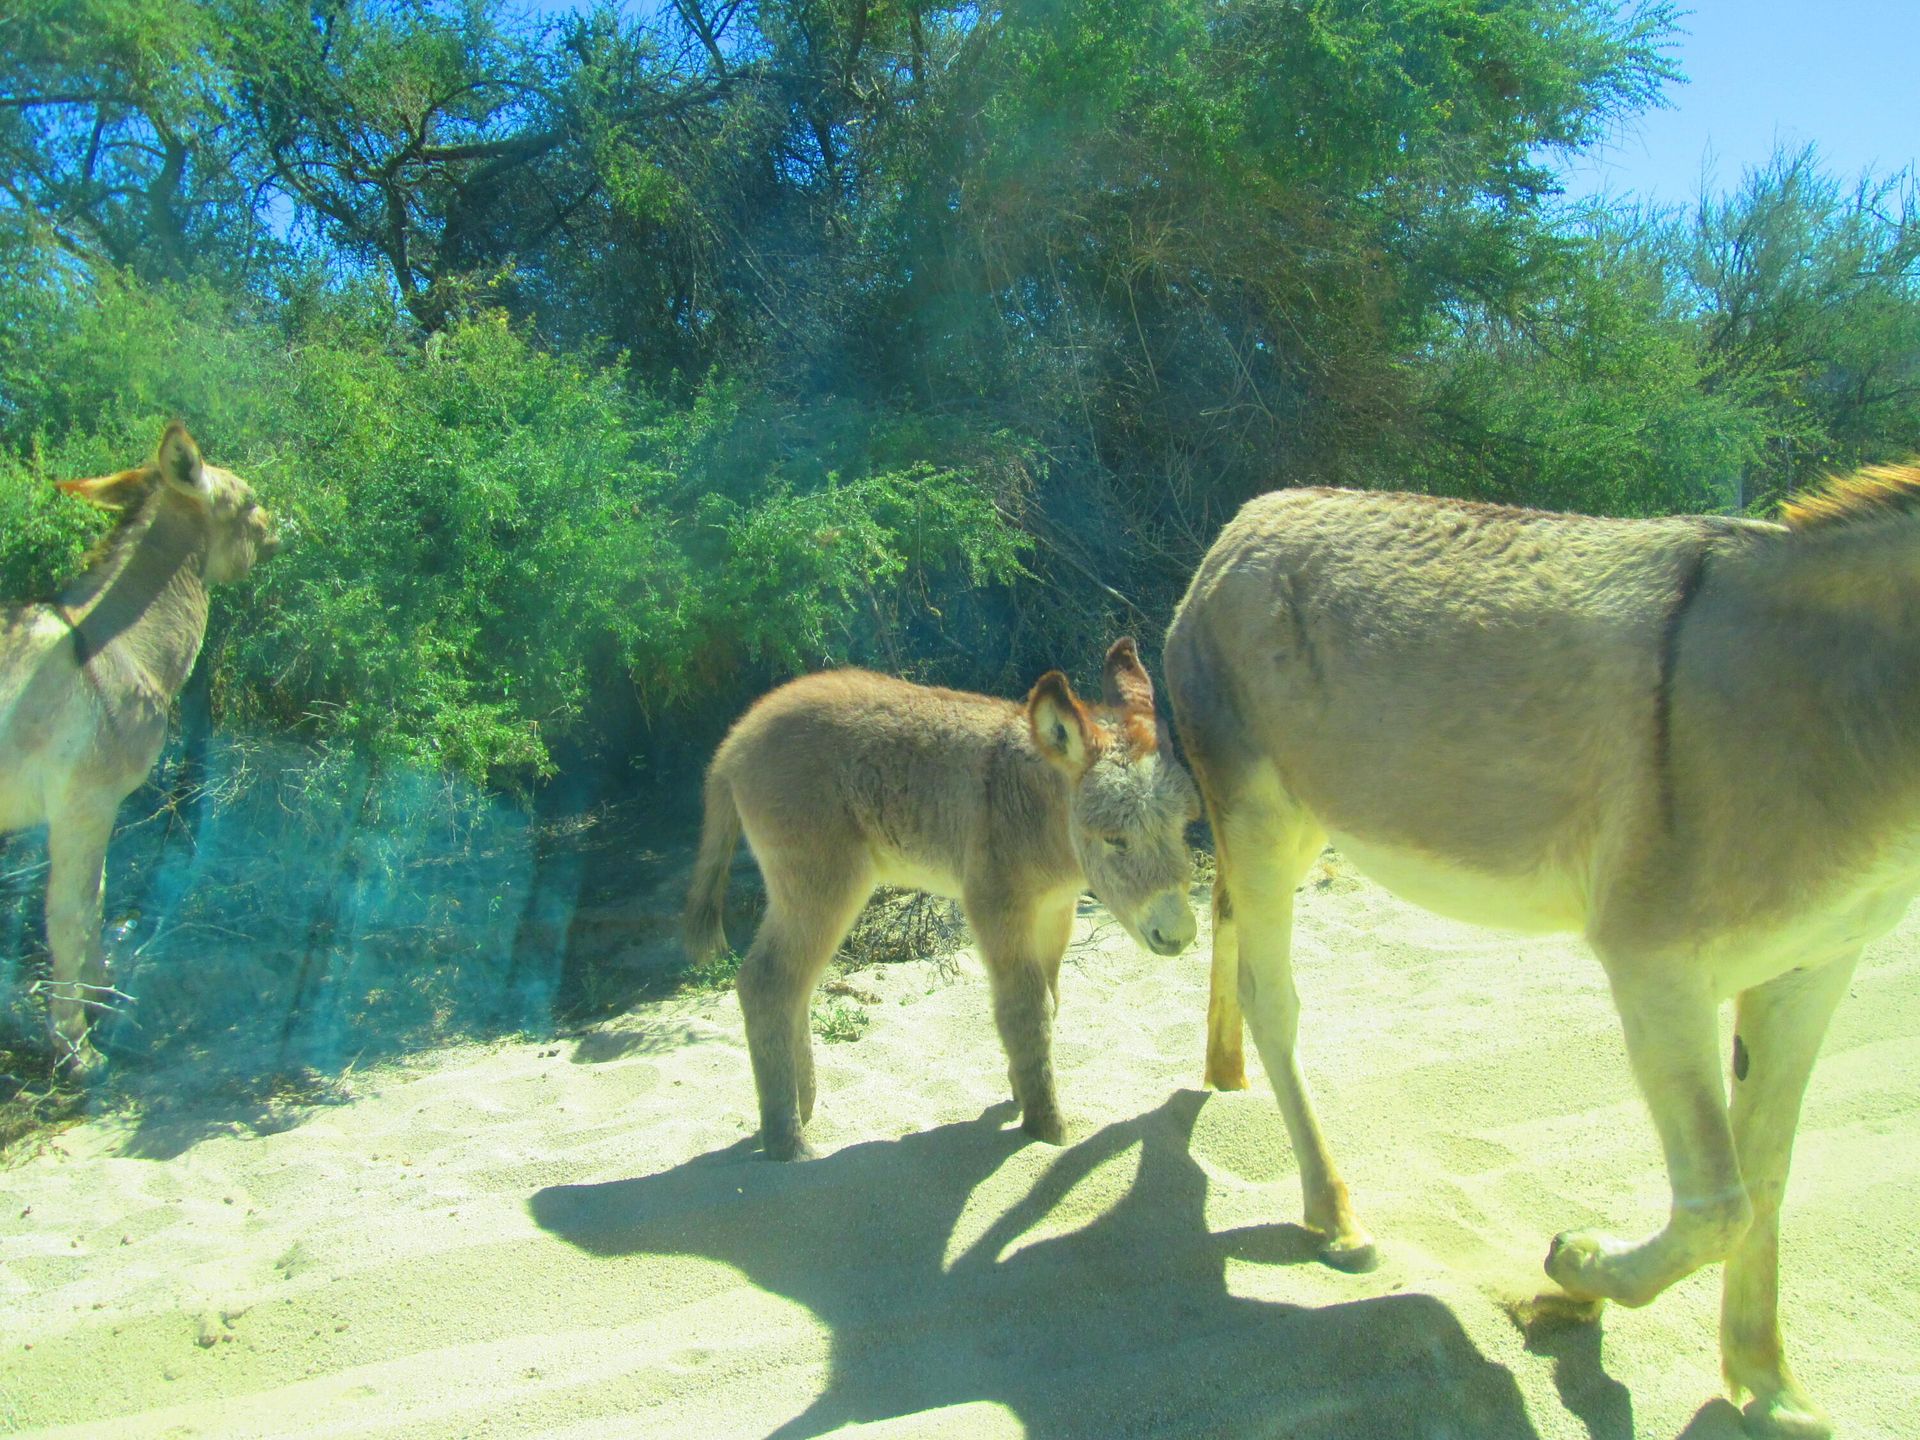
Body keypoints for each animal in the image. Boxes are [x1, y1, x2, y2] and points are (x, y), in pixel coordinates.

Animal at [691, 641, 1198, 1159]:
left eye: (1184, 825)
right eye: (1115, 840)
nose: (1178, 935)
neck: (1040, 812)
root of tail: (735, 739)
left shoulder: (1055, 909)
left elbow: (1052, 1000)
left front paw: (1021, 1091)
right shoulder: (996, 905)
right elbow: (1025, 1010)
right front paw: (1045, 1128)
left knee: (795, 987)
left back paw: (803, 1108)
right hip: (823, 884)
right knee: (767, 984)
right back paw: (788, 1142)